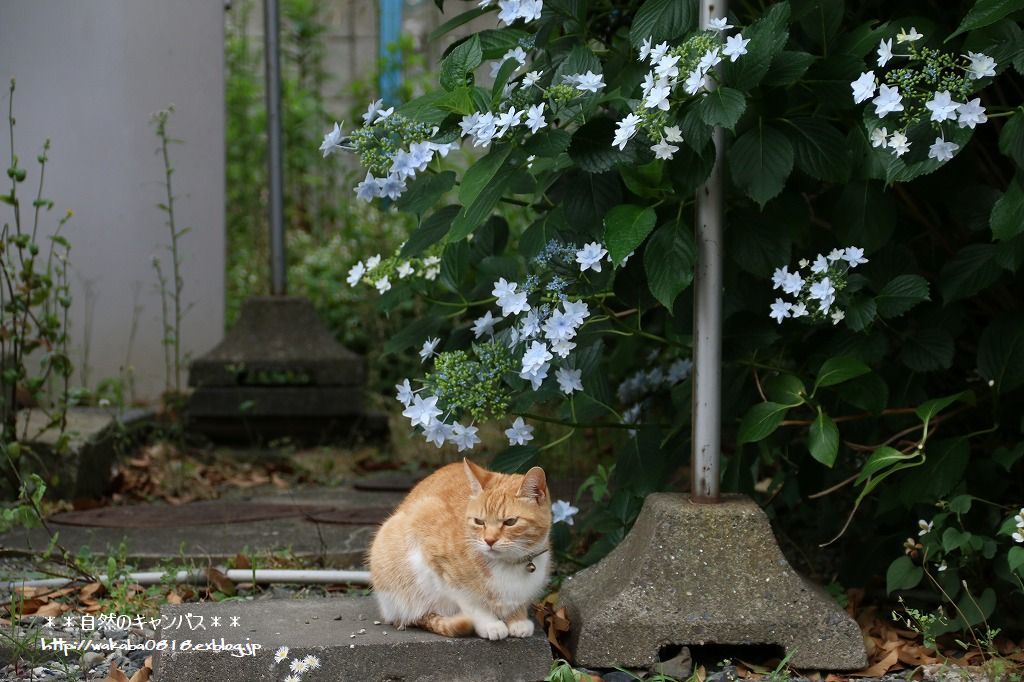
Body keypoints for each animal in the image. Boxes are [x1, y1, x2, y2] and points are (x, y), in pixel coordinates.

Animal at [370, 456, 552, 638]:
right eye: (479, 521)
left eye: (510, 522)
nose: (489, 540)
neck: (508, 564)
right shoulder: (440, 567)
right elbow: (472, 603)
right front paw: (490, 624)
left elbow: (517, 603)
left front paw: (518, 619)